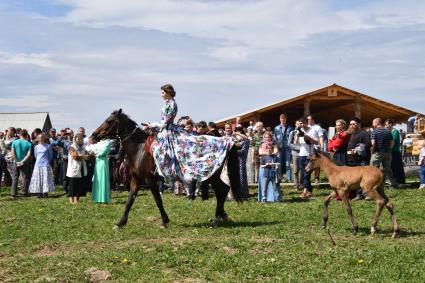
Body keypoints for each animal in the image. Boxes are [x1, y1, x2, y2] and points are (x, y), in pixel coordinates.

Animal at [91, 110, 242, 230]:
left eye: (109, 121)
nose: (93, 135)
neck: (139, 150)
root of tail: (227, 140)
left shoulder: (150, 180)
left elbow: (158, 200)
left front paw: (164, 221)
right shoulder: (135, 180)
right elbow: (129, 201)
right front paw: (120, 223)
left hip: (211, 175)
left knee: (222, 190)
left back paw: (217, 218)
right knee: (222, 190)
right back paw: (221, 216)